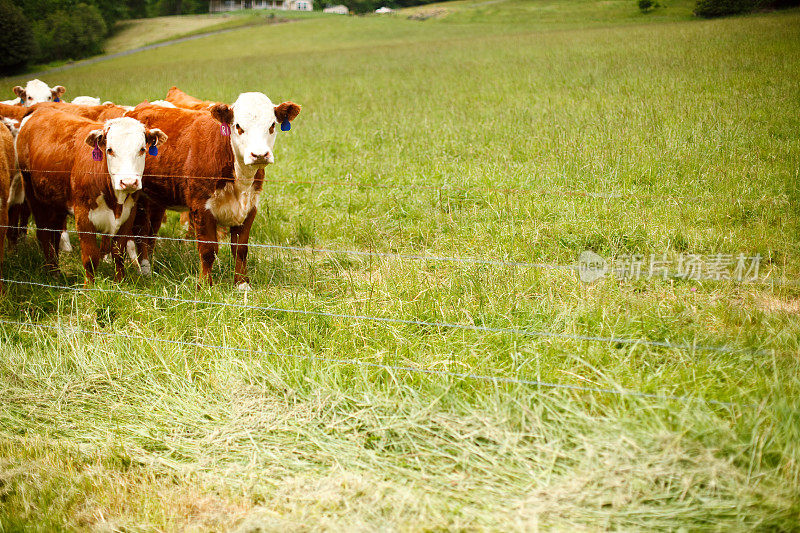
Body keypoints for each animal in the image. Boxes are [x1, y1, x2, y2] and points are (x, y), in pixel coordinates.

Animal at [17, 108, 168, 282]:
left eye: (142, 149)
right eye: (110, 150)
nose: (128, 182)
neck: (115, 201)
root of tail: (40, 110)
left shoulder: (128, 214)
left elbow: (118, 254)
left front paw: (120, 282)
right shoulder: (83, 217)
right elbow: (90, 258)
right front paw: (89, 285)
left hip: (56, 202)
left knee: (54, 234)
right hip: (34, 196)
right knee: (44, 234)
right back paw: (53, 273)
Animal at [125, 93, 300, 288]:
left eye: (272, 125)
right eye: (238, 126)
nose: (260, 155)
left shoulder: (250, 206)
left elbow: (240, 249)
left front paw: (242, 283)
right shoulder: (201, 206)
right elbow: (208, 249)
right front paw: (205, 285)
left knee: (150, 231)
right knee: (140, 231)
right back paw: (145, 270)